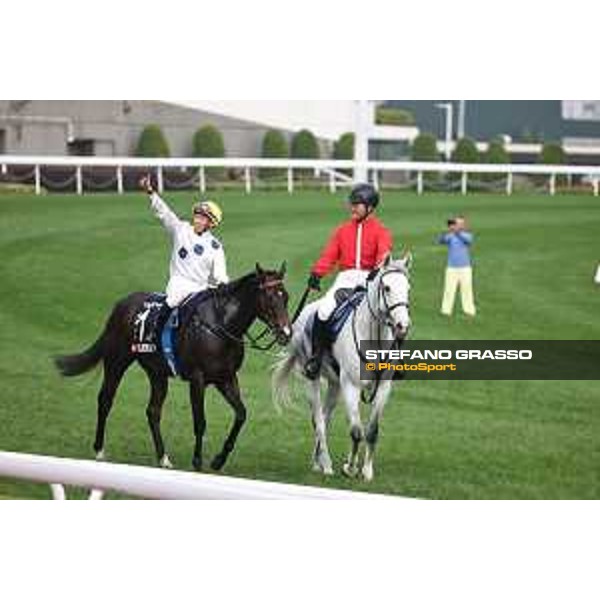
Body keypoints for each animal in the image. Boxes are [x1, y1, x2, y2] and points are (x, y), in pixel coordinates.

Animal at [54, 264, 290, 472]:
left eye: (285, 297)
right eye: (270, 297)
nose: (286, 333)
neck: (220, 325)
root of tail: (121, 304)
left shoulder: (226, 378)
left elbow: (241, 414)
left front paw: (218, 460)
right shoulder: (198, 379)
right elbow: (200, 421)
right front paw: (197, 461)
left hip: (157, 373)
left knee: (153, 411)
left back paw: (164, 458)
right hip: (116, 362)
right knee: (105, 400)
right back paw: (99, 450)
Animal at [274, 254, 410, 482]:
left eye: (408, 288)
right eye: (387, 288)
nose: (403, 326)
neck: (372, 337)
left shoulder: (383, 387)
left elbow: (372, 431)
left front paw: (366, 471)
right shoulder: (351, 385)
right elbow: (356, 431)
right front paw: (350, 468)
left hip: (334, 384)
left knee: (325, 418)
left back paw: (318, 462)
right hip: (313, 379)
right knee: (319, 420)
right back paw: (326, 464)